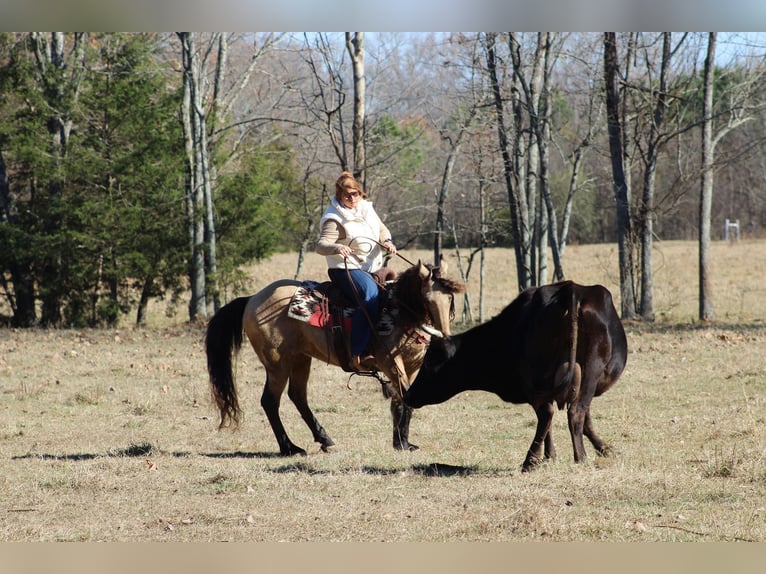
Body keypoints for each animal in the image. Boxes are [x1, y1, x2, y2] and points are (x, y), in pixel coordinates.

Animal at [206, 260, 468, 454]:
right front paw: (402, 443)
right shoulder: (391, 363)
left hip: (300, 359)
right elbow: (403, 398)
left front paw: (402, 442)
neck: (400, 312)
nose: (444, 334)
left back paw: (324, 439)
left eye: (449, 298)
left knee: (298, 397)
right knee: (270, 401)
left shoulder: (411, 365)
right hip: (277, 363)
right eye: (428, 299)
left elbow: (402, 400)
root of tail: (252, 299)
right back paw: (290, 447)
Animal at [404, 280, 628, 472]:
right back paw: (564, 457)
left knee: (555, 412)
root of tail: (569, 290)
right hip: (579, 373)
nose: (408, 395)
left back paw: (542, 458)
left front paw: (602, 448)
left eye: (429, 362)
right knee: (566, 412)